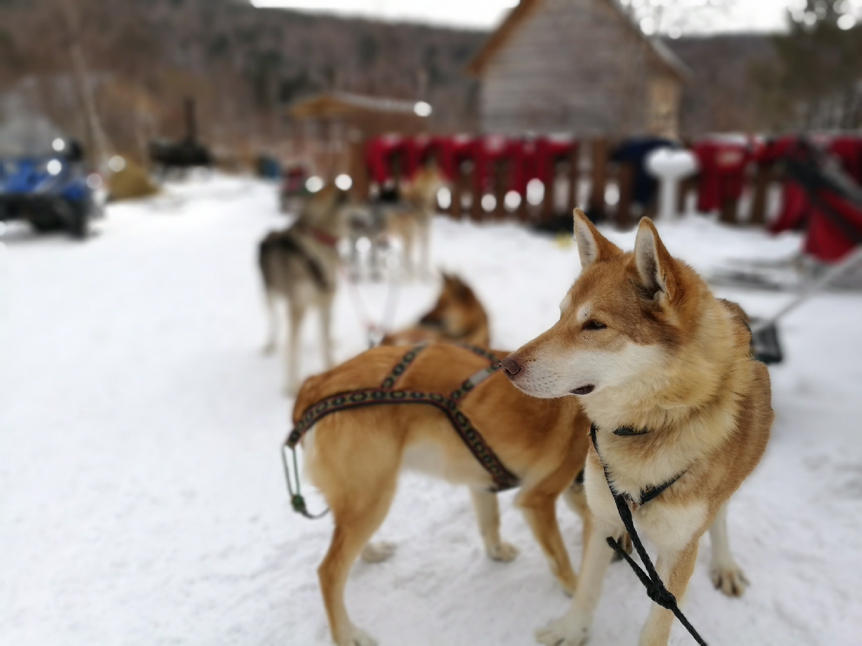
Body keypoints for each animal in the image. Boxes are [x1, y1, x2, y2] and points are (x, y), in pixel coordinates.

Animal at [258, 185, 350, 398]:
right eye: (360, 200)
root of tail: (270, 233)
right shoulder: (297, 307)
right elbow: (293, 349)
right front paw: (291, 386)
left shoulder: (325, 302)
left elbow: (324, 340)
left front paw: (329, 368)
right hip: (269, 295)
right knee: (274, 320)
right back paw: (270, 344)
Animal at [502, 210, 772, 644]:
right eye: (561, 315)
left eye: (595, 325)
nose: (505, 366)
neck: (648, 427)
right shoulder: (600, 519)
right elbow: (586, 588)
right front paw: (571, 630)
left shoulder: (678, 550)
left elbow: (657, 625)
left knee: (721, 518)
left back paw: (725, 564)